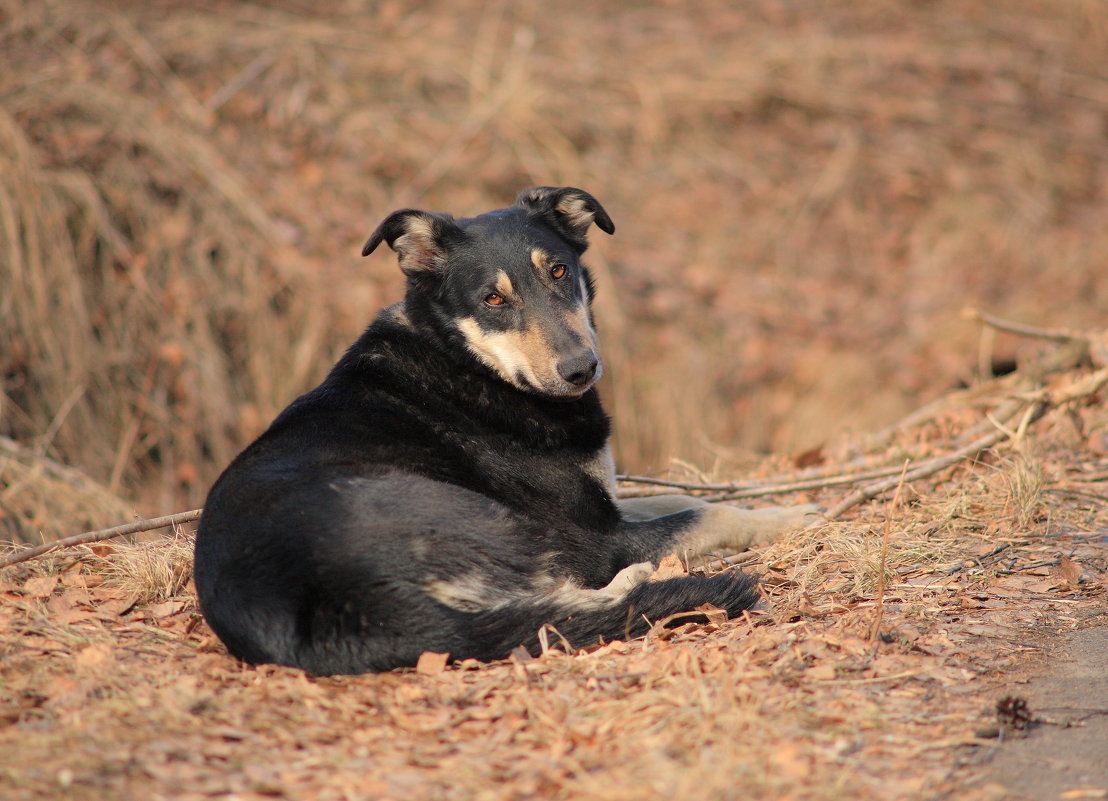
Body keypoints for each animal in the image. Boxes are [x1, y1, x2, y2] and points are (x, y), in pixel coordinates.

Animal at [190, 188, 819, 678]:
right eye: (493, 299)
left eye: (559, 271)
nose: (580, 370)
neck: (468, 361)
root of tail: (347, 613)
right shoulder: (594, 533)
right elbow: (703, 512)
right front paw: (793, 516)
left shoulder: (602, 510)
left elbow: (673, 499)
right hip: (489, 523)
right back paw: (638, 581)